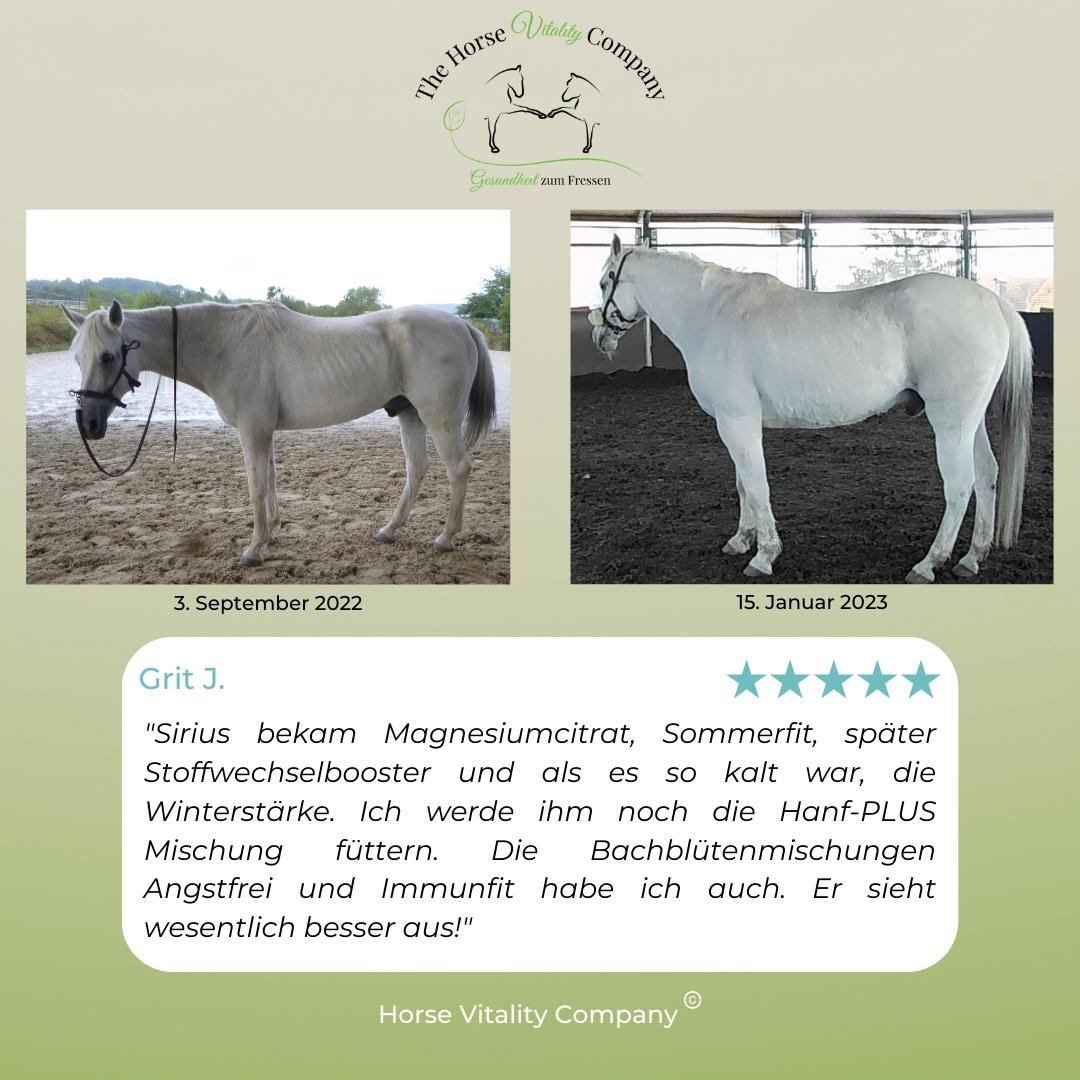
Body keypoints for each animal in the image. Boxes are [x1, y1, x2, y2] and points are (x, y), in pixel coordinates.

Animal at [62, 300, 497, 566]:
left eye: (108, 356)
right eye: (76, 358)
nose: (89, 424)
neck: (226, 345)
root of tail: (461, 324)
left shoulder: (253, 430)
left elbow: (256, 486)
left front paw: (254, 550)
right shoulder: (264, 431)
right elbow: (270, 480)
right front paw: (271, 533)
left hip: (439, 418)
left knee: (459, 469)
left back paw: (446, 538)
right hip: (410, 416)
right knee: (416, 470)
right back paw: (389, 531)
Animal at [589, 236, 1033, 584]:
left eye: (604, 280)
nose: (599, 337)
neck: (712, 313)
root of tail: (993, 302)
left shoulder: (738, 422)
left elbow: (758, 486)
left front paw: (764, 556)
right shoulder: (734, 425)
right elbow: (743, 485)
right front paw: (741, 540)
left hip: (951, 422)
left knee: (959, 486)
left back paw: (928, 564)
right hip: (969, 422)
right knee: (988, 474)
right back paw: (972, 558)